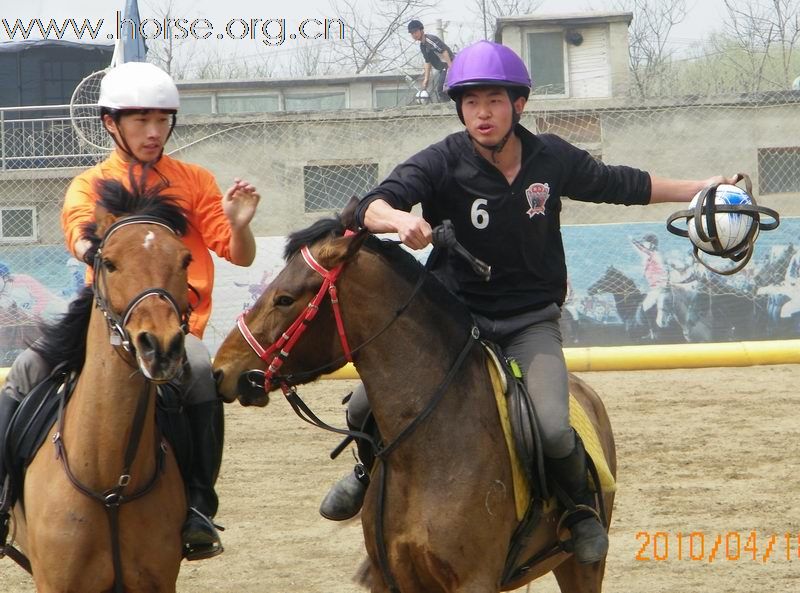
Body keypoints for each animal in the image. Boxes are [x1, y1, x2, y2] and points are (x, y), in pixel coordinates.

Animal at [10, 180, 191, 592]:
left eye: (185, 260)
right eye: (109, 262)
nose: (160, 347)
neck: (111, 482)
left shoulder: (158, 582)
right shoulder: (55, 584)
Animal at [214, 200, 620, 592]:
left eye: (285, 299)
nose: (222, 369)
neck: (427, 448)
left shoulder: (474, 581)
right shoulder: (391, 578)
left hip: (581, 567)